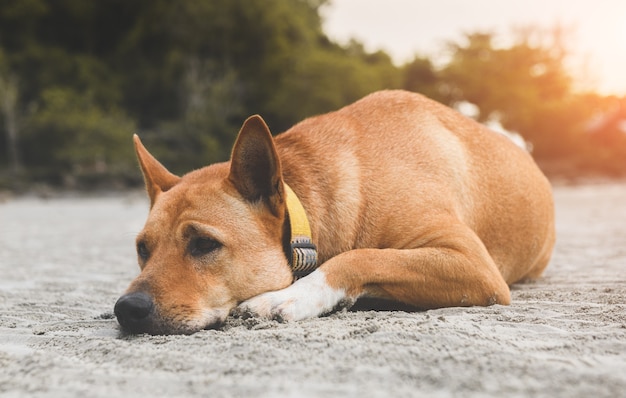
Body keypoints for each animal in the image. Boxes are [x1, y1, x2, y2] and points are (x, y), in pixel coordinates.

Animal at [112, 91, 552, 336]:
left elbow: (360, 256)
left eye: (204, 244)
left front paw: (292, 296)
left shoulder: (474, 266)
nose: (126, 309)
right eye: (142, 250)